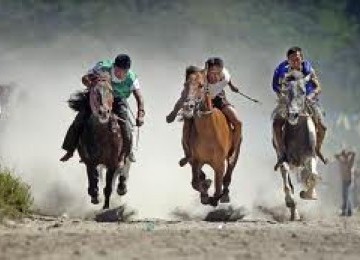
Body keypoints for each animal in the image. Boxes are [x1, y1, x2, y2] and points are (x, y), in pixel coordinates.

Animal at [67, 73, 129, 209]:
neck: (102, 136)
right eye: (95, 92)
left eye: (111, 91)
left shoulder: (112, 163)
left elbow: (108, 187)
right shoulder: (90, 161)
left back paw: (121, 188)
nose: (104, 112)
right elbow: (93, 179)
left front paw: (106, 206)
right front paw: (95, 196)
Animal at [183, 71, 242, 207]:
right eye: (185, 84)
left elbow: (218, 187)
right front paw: (205, 192)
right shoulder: (196, 160)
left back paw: (225, 194)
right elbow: (196, 183)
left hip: (234, 154)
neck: (208, 133)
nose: (188, 106)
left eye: (201, 85)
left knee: (229, 171)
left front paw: (214, 196)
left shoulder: (219, 164)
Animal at [272, 71, 320, 221]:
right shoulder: (284, 157)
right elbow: (285, 173)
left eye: (303, 91)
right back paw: (295, 213)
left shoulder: (310, 155)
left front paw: (308, 194)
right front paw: (291, 202)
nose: (293, 114)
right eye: (286, 91)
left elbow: (313, 174)